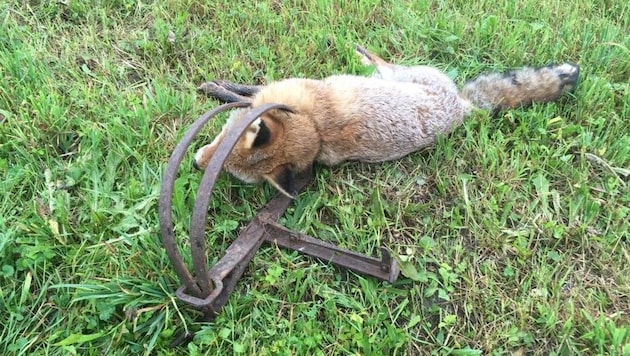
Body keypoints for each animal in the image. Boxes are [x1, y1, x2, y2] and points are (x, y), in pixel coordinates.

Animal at [194, 45, 584, 197]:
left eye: (221, 149)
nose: (198, 163)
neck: (312, 123)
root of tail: (460, 107)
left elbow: (245, 93)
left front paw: (220, 89)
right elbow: (247, 95)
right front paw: (222, 90)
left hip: (401, 74)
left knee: (384, 62)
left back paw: (361, 52)